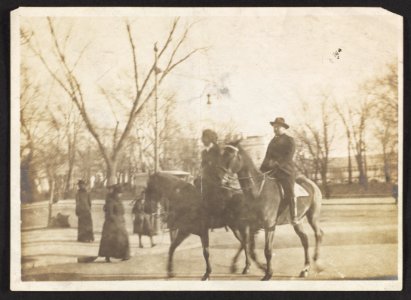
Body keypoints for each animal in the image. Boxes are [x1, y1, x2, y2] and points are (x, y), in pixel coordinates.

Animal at [220, 142, 324, 280]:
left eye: (231, 155)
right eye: (222, 154)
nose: (222, 179)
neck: (258, 191)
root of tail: (312, 184)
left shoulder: (269, 226)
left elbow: (267, 250)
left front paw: (268, 273)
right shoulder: (252, 226)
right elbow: (250, 248)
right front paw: (260, 268)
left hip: (313, 216)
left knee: (318, 234)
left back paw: (317, 263)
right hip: (299, 221)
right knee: (305, 240)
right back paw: (305, 269)